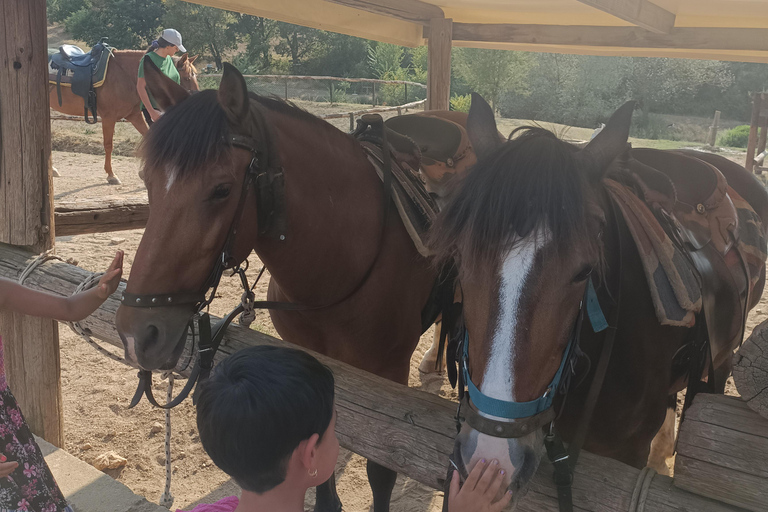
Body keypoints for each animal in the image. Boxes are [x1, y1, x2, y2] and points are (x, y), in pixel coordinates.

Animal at [50, 50, 200, 185]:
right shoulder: (108, 118)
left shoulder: (134, 116)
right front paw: (111, 175)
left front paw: (143, 172)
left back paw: (52, 169)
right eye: (187, 77)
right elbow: (108, 145)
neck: (124, 75)